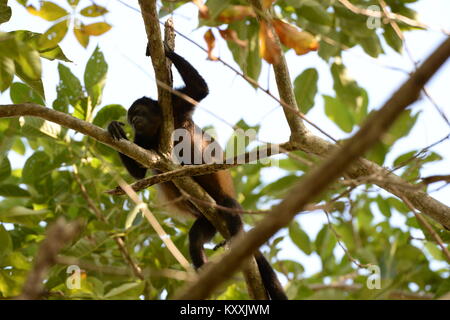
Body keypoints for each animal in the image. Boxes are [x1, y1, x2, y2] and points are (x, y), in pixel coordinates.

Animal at [107, 45, 286, 300]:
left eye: (139, 111)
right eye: (131, 118)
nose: (135, 119)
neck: (158, 129)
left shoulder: (175, 105)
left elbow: (199, 90)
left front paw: (164, 49)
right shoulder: (142, 139)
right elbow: (138, 174)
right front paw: (114, 128)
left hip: (221, 207)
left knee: (230, 207)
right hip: (206, 221)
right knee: (195, 239)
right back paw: (203, 270)